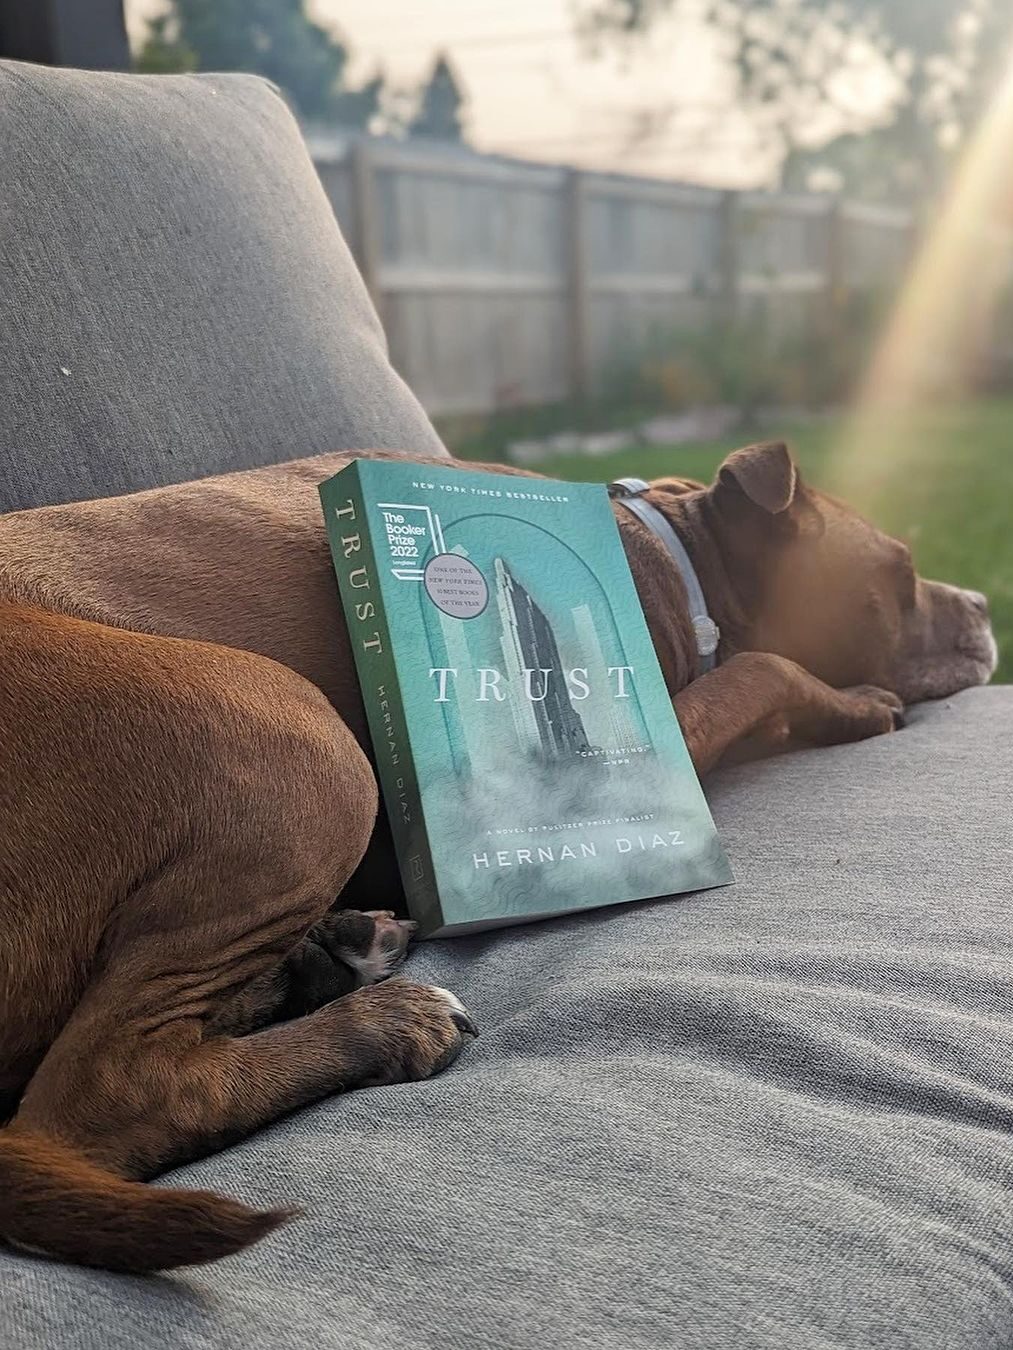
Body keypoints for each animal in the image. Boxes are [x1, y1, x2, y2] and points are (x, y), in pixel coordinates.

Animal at [0, 445, 999, 1274]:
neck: (675, 549)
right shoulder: (665, 731)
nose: (987, 605)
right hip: (294, 734)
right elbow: (768, 670)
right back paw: (377, 1022)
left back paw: (334, 955)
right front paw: (856, 705)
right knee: (115, 1091)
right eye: (899, 574)